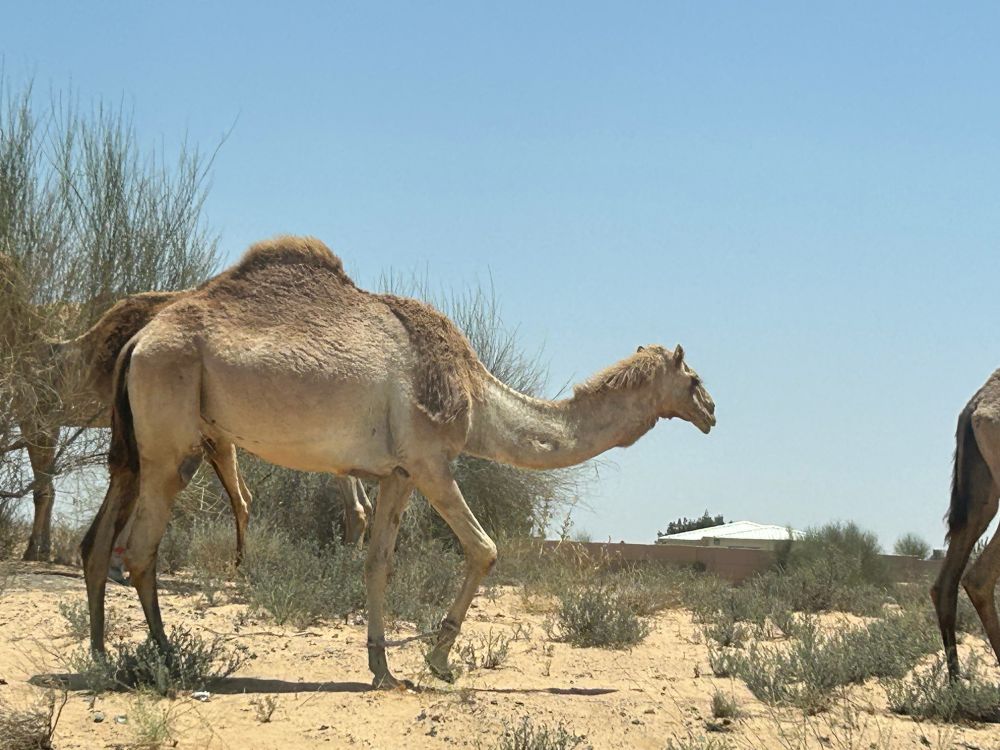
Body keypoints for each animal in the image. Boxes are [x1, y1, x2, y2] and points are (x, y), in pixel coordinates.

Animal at [80, 235, 716, 688]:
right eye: (693, 378)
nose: (712, 411)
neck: (477, 397)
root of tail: (138, 341)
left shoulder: (398, 475)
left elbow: (378, 563)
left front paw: (383, 670)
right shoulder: (432, 461)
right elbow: (485, 549)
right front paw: (438, 660)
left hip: (140, 446)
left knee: (97, 540)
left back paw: (102, 658)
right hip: (171, 434)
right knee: (138, 548)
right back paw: (166, 663)